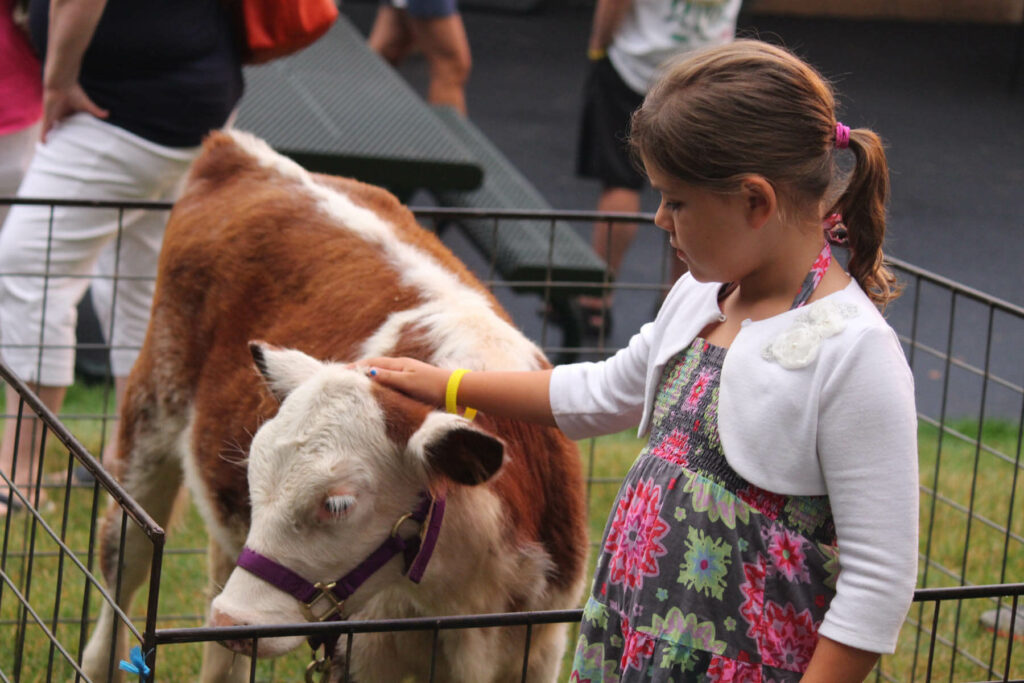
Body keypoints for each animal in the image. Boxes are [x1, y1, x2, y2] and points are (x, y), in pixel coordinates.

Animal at [80, 131, 589, 679]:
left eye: (338, 503)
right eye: (255, 475)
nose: (233, 621)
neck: (464, 597)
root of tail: (241, 151)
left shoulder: (538, 647)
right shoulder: (360, 653)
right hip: (149, 421)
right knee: (123, 568)